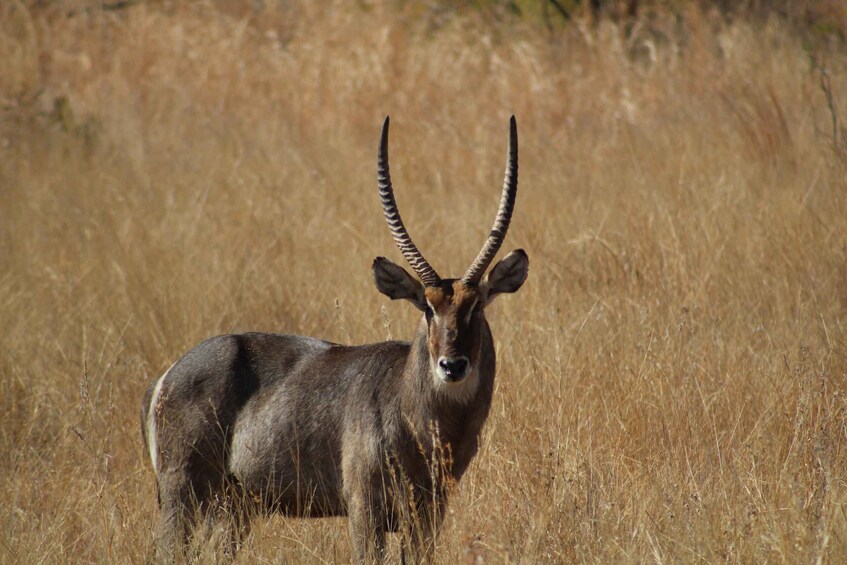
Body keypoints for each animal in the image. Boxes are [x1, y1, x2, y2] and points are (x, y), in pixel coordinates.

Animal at [141, 116, 528, 562]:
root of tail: (166, 377)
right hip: (180, 495)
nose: (452, 365)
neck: (414, 410)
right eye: (427, 308)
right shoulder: (364, 508)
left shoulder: (430, 513)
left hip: (234, 507)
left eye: (477, 305)